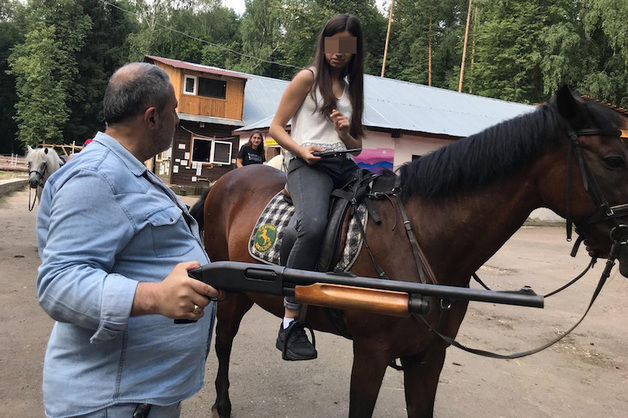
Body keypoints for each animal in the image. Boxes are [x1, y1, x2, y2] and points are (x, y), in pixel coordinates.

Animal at [195, 86, 628, 416]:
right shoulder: (371, 354)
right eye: (614, 160)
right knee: (224, 341)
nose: (625, 247)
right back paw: (223, 402)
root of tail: (225, 183)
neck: (422, 241)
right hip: (232, 293)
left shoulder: (428, 357)